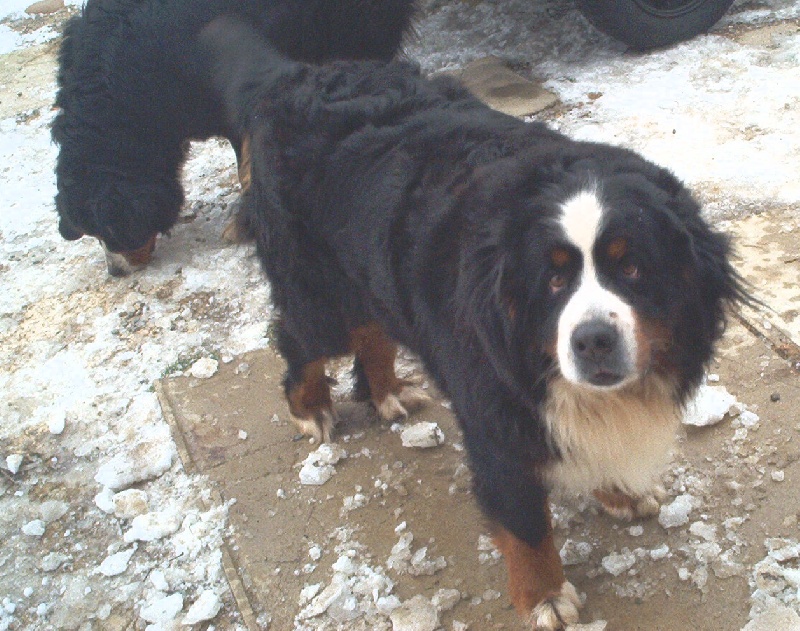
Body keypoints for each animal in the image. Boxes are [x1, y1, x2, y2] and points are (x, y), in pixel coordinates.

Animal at [200, 17, 747, 630]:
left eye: (632, 267)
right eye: (552, 280)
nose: (592, 341)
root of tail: (296, 74)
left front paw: (619, 493)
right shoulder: (496, 409)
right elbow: (523, 520)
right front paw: (545, 596)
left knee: (372, 330)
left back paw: (388, 391)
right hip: (317, 287)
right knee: (303, 340)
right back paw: (311, 408)